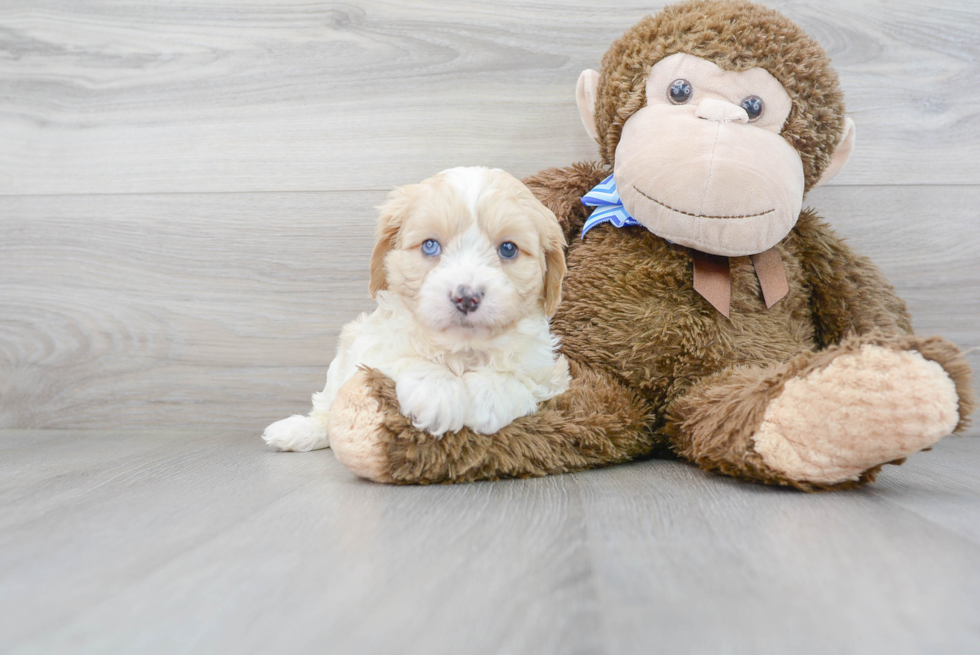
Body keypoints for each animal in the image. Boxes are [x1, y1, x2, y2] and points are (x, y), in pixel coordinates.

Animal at [262, 167, 568, 454]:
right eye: (430, 245)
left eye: (508, 249)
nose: (466, 297)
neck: (462, 348)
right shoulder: (372, 347)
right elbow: (408, 358)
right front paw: (437, 394)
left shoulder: (548, 371)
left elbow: (519, 378)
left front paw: (489, 396)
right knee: (326, 407)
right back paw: (297, 431)